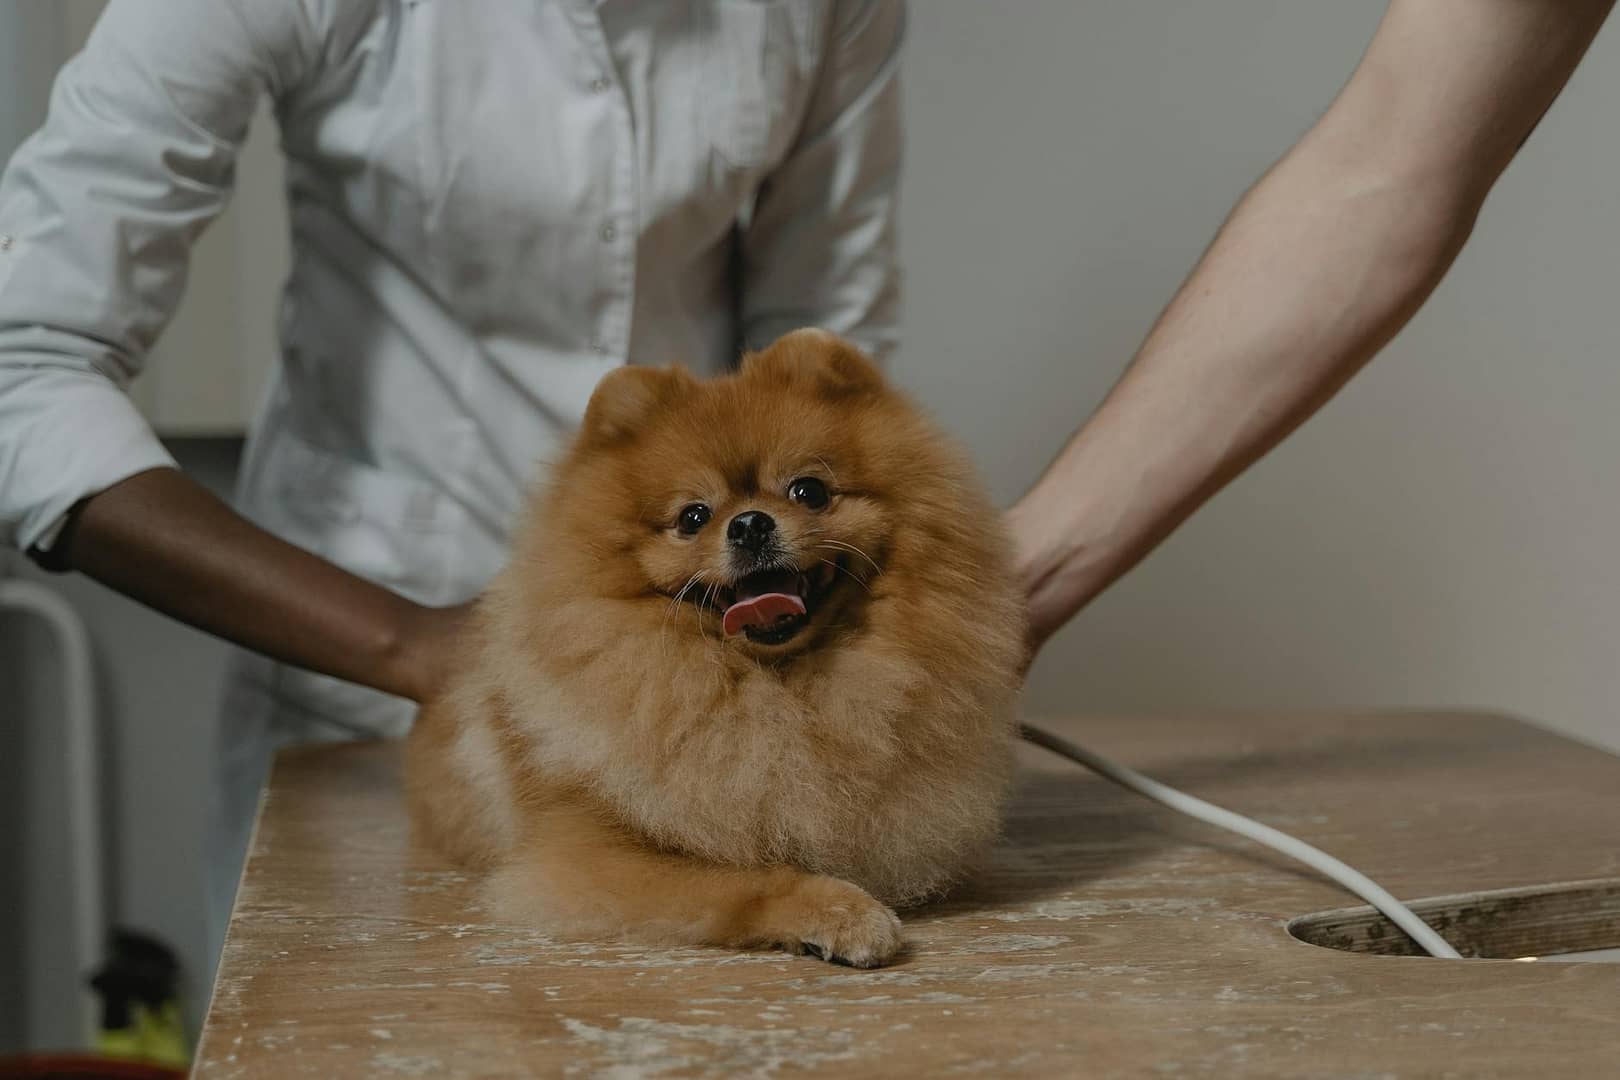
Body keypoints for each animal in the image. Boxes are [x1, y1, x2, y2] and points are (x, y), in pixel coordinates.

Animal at [400, 330, 1017, 971]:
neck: (776, 688)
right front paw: (839, 910)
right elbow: (741, 878)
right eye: (693, 516)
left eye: (809, 490)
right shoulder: (581, 854)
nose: (748, 524)